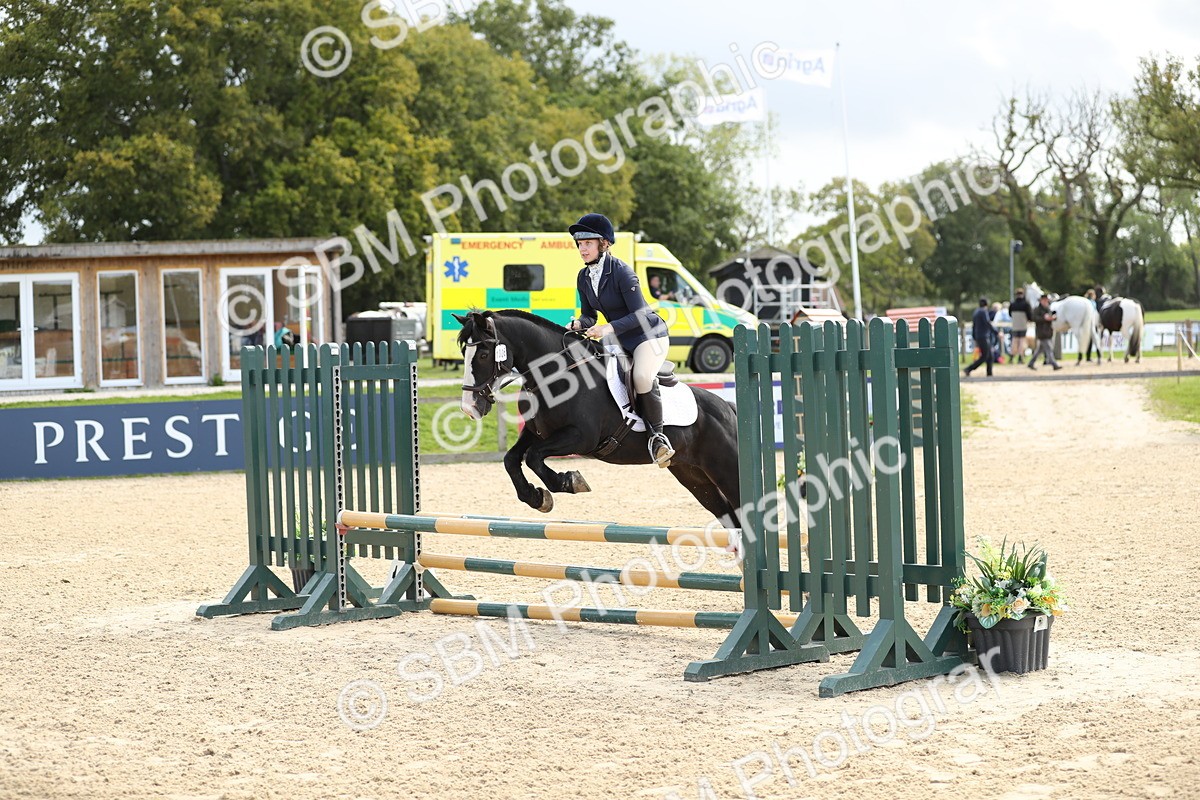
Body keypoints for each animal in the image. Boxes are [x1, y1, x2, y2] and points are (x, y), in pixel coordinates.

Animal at [454, 309, 743, 527]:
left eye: (483, 355)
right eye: (464, 355)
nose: (469, 407)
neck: (557, 375)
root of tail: (729, 409)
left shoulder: (581, 437)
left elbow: (534, 457)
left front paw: (569, 481)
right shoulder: (536, 433)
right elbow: (512, 459)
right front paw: (537, 498)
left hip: (727, 469)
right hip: (693, 475)